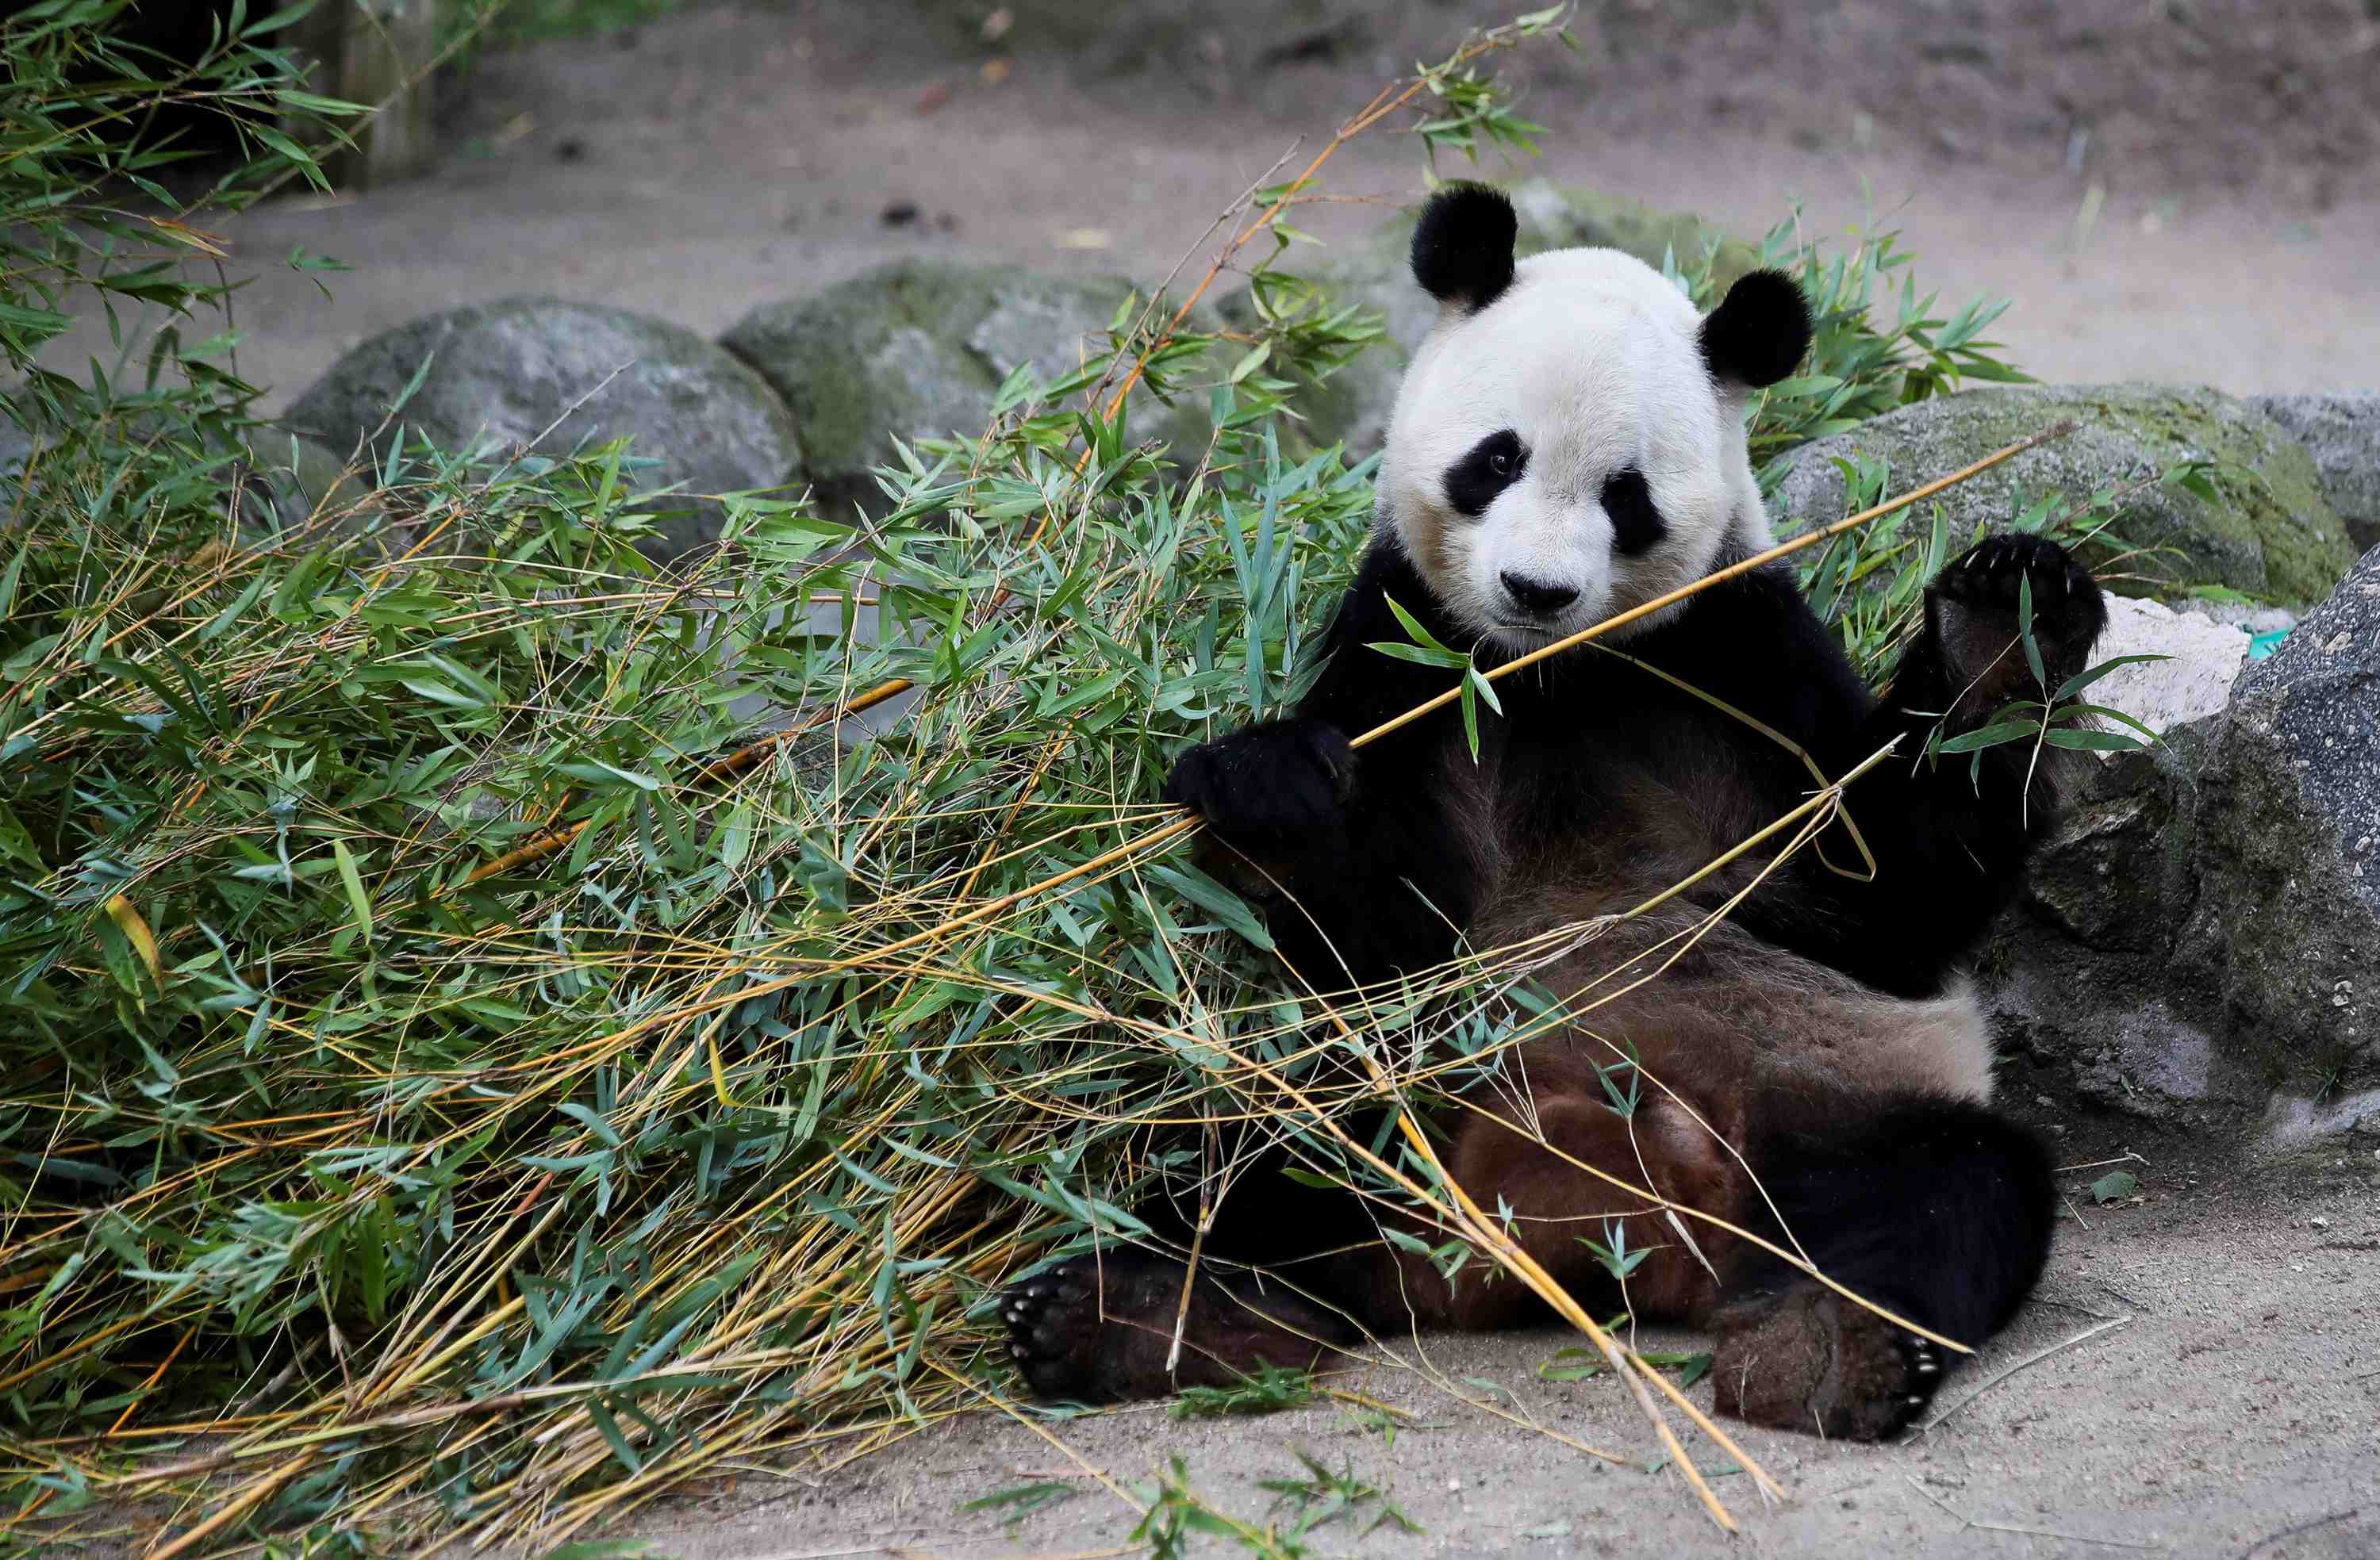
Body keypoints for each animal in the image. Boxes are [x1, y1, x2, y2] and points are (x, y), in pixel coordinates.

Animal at [995, 189, 2113, 1446]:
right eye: (1497, 459)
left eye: (1627, 495)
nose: (1536, 589)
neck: (1547, 677)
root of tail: (1586, 1233)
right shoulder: (1405, 654)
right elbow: (1375, 942)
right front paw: (1268, 789)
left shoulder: (1736, 652)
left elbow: (1881, 898)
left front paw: (2003, 626)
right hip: (1398, 1097)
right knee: (1259, 1152)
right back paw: (1142, 1312)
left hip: (1828, 1102)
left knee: (1951, 1189)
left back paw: (1831, 1349)